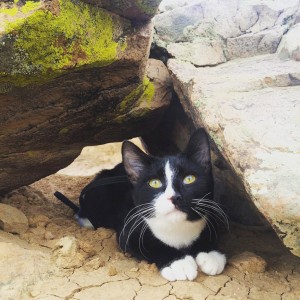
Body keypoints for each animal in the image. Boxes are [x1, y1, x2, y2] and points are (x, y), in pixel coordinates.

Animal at [54, 129, 227, 282]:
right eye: (154, 183)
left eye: (189, 179)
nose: (174, 197)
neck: (177, 227)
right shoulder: (128, 230)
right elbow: (151, 245)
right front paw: (178, 263)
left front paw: (211, 254)